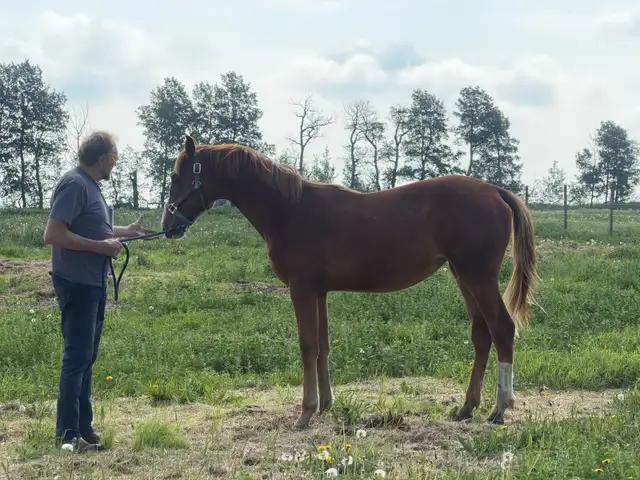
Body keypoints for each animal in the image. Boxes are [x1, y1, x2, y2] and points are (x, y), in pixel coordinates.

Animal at [161, 134, 539, 429]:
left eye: (176, 176)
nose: (168, 226)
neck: (289, 210)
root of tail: (496, 191)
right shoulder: (319, 292)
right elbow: (322, 346)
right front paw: (325, 404)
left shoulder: (300, 289)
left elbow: (307, 346)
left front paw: (305, 413)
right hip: (464, 276)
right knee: (481, 334)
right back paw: (466, 407)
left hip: (478, 276)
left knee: (502, 329)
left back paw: (500, 408)